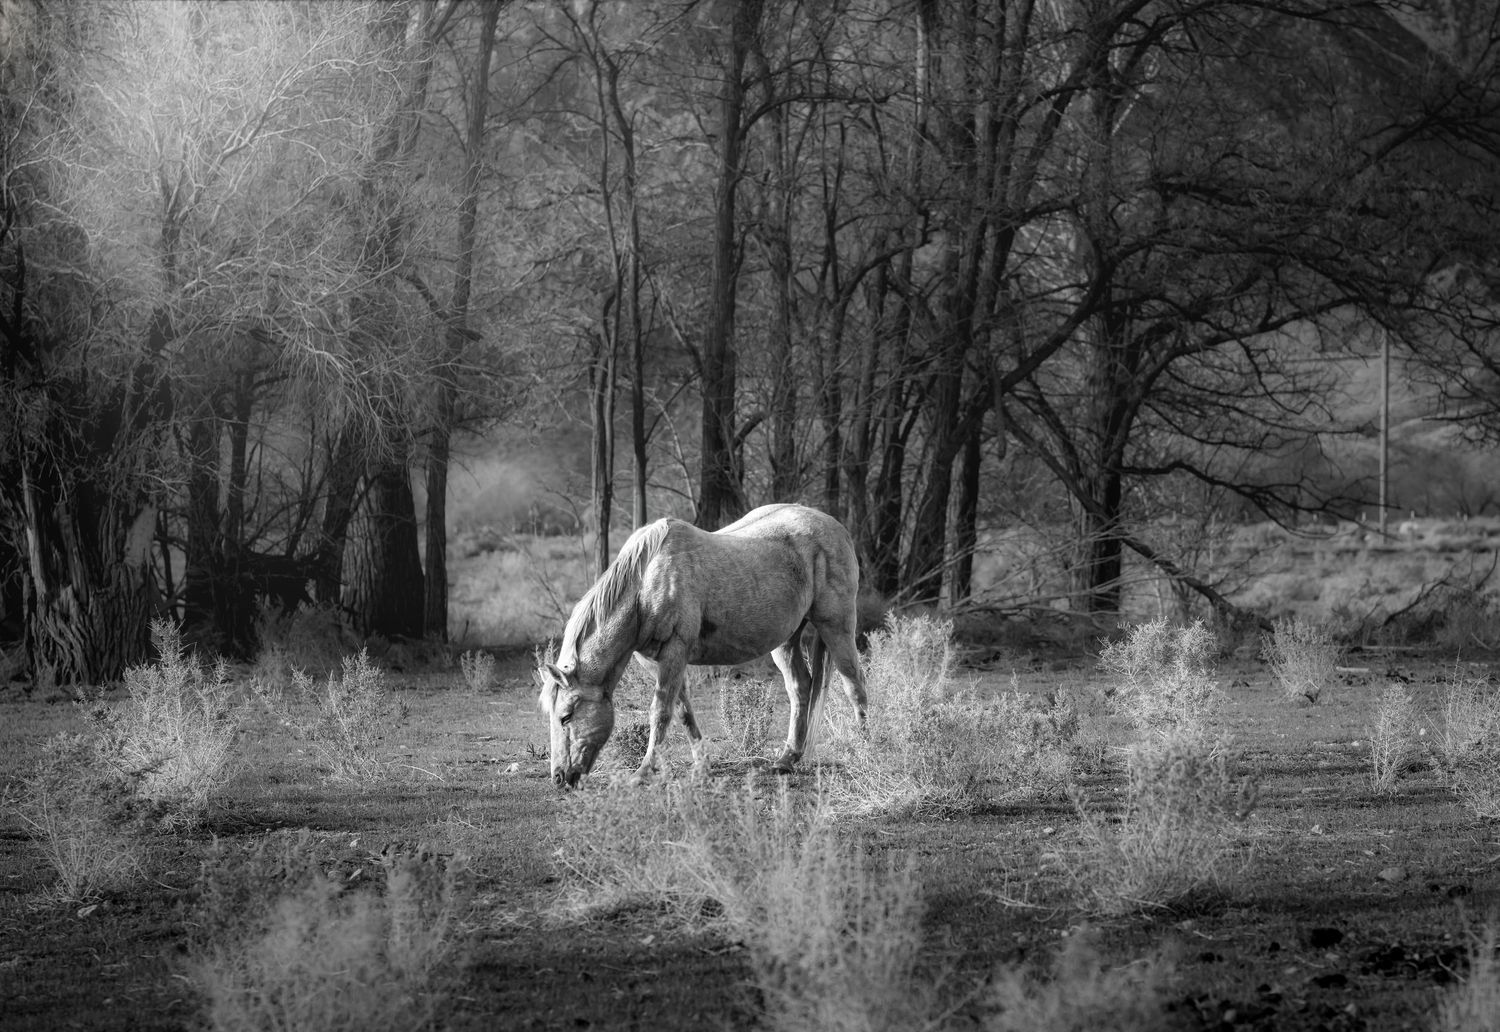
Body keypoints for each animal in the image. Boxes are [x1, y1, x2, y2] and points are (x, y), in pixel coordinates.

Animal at [537, 503, 868, 789]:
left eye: (566, 716)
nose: (559, 778)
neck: (646, 584)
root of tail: (836, 527)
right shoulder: (657, 661)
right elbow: (682, 711)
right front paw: (701, 766)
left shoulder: (674, 652)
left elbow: (660, 712)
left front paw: (643, 773)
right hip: (787, 640)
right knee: (800, 688)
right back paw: (787, 760)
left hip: (836, 626)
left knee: (854, 684)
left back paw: (867, 747)